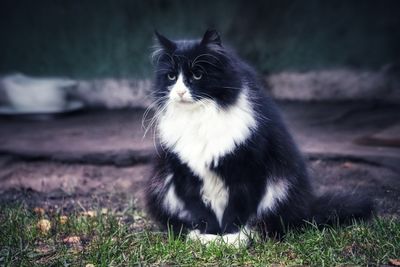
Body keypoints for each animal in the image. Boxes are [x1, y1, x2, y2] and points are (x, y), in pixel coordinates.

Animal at [145, 29, 374, 247]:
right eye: (171, 77)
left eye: (198, 75)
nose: (180, 92)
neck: (200, 117)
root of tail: (309, 208)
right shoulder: (185, 174)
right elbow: (202, 211)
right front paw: (209, 236)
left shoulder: (246, 171)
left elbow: (235, 212)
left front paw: (231, 239)